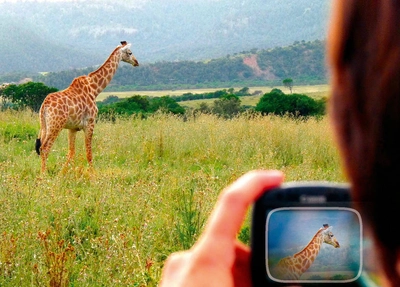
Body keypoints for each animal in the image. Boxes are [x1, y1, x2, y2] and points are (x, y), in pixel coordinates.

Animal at [36, 40, 139, 173]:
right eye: (130, 52)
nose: (136, 62)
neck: (95, 89)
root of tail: (44, 106)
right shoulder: (90, 123)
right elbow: (89, 154)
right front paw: (93, 175)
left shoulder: (72, 128)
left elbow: (71, 153)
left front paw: (62, 174)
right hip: (56, 125)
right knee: (45, 148)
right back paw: (44, 175)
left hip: (44, 126)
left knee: (41, 147)